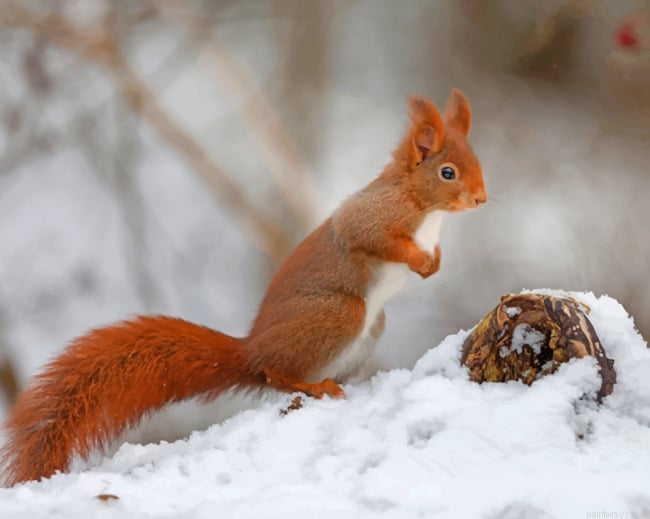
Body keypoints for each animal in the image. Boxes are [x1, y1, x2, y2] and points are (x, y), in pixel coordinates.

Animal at [0, 89, 486, 486]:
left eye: (476, 163)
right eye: (447, 172)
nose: (481, 199)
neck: (425, 209)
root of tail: (249, 350)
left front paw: (433, 265)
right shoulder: (372, 217)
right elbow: (372, 238)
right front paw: (419, 261)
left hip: (369, 327)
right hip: (340, 315)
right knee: (276, 373)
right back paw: (311, 386)